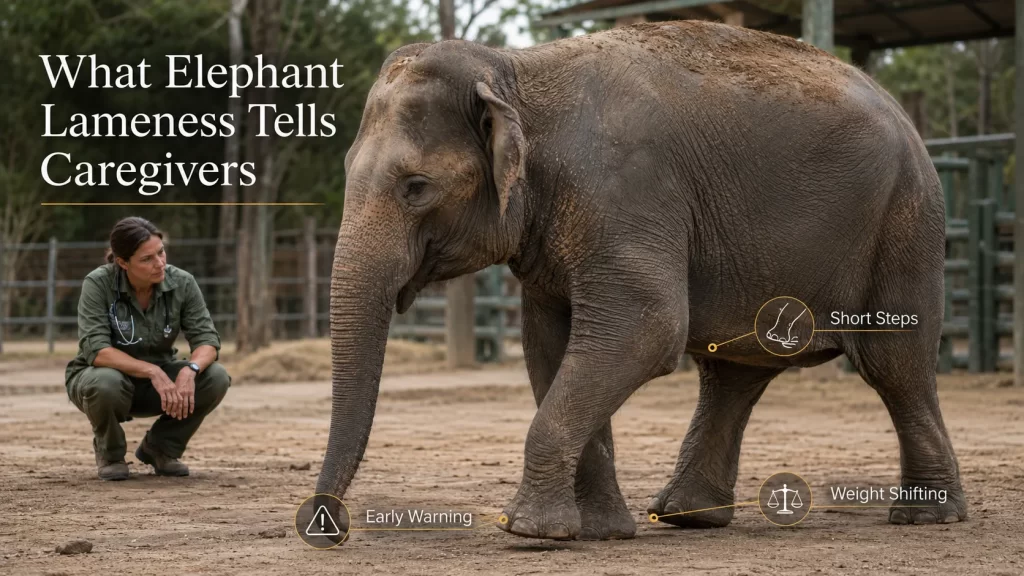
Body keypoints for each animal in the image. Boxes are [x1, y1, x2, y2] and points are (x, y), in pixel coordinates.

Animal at [314, 20, 967, 542]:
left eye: (416, 187)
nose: (329, 526)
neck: (515, 72)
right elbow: (550, 346)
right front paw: (599, 533)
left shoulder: (626, 193)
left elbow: (645, 329)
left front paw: (529, 532)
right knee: (733, 373)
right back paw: (687, 517)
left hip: (905, 223)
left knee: (895, 365)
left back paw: (927, 518)